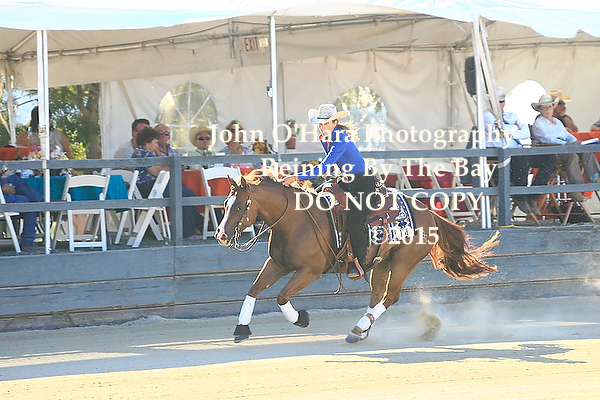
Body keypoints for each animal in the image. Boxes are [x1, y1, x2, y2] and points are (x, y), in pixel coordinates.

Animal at [215, 170, 498, 343]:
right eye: (226, 204)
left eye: (239, 206)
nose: (221, 235)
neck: (296, 219)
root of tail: (428, 213)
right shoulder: (277, 264)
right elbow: (253, 290)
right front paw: (241, 329)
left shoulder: (310, 271)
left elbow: (282, 296)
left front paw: (301, 319)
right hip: (382, 263)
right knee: (377, 296)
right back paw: (361, 330)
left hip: (403, 263)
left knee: (390, 297)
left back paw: (359, 329)